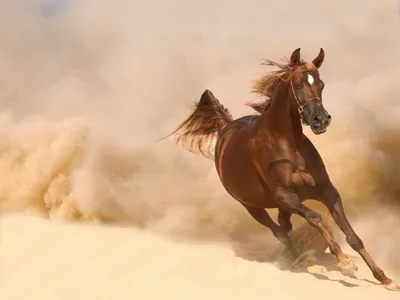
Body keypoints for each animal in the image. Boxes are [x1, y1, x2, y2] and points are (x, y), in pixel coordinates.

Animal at [168, 48, 396, 290]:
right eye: (298, 85)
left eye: (321, 84)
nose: (321, 120)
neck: (288, 145)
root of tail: (225, 128)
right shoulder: (285, 196)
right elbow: (315, 217)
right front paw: (343, 261)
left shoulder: (326, 191)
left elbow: (352, 235)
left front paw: (384, 278)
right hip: (253, 207)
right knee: (279, 232)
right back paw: (297, 260)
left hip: (281, 206)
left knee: (284, 227)